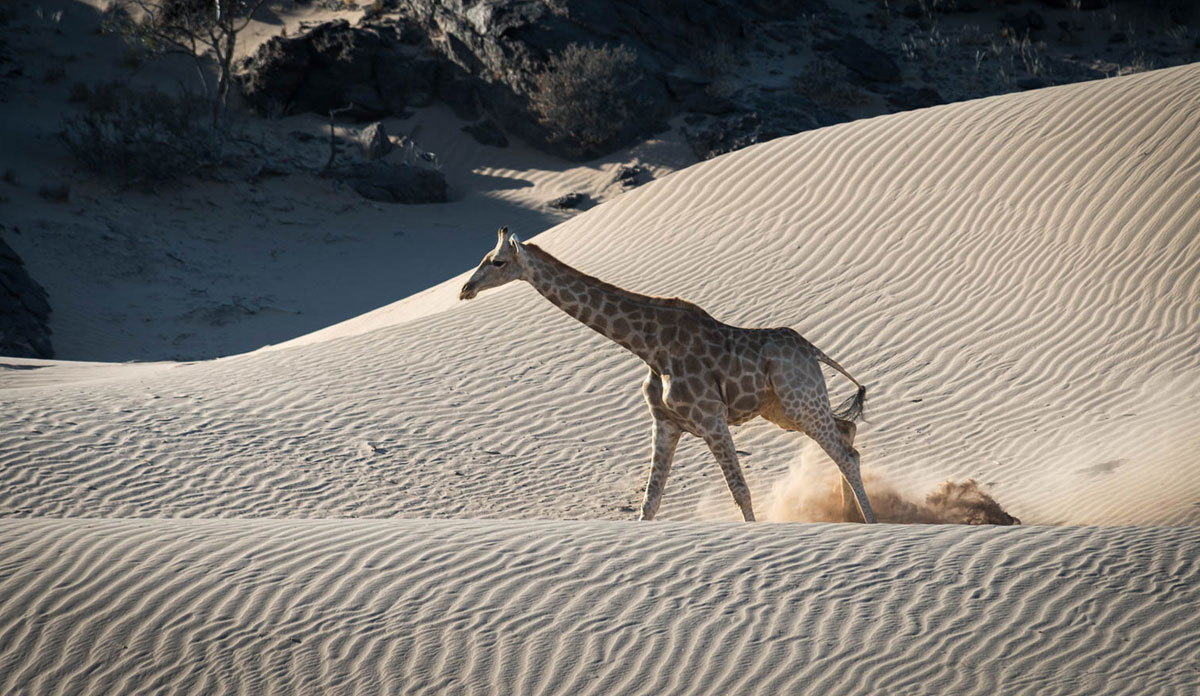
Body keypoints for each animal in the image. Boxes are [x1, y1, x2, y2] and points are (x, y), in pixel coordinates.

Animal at [456, 226, 873, 523]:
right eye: (483, 258)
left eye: (497, 261)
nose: (465, 289)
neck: (649, 346)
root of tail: (812, 350)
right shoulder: (666, 422)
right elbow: (650, 501)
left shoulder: (711, 419)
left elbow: (740, 491)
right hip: (784, 410)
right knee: (848, 434)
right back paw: (852, 516)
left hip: (800, 403)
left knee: (845, 454)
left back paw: (869, 521)